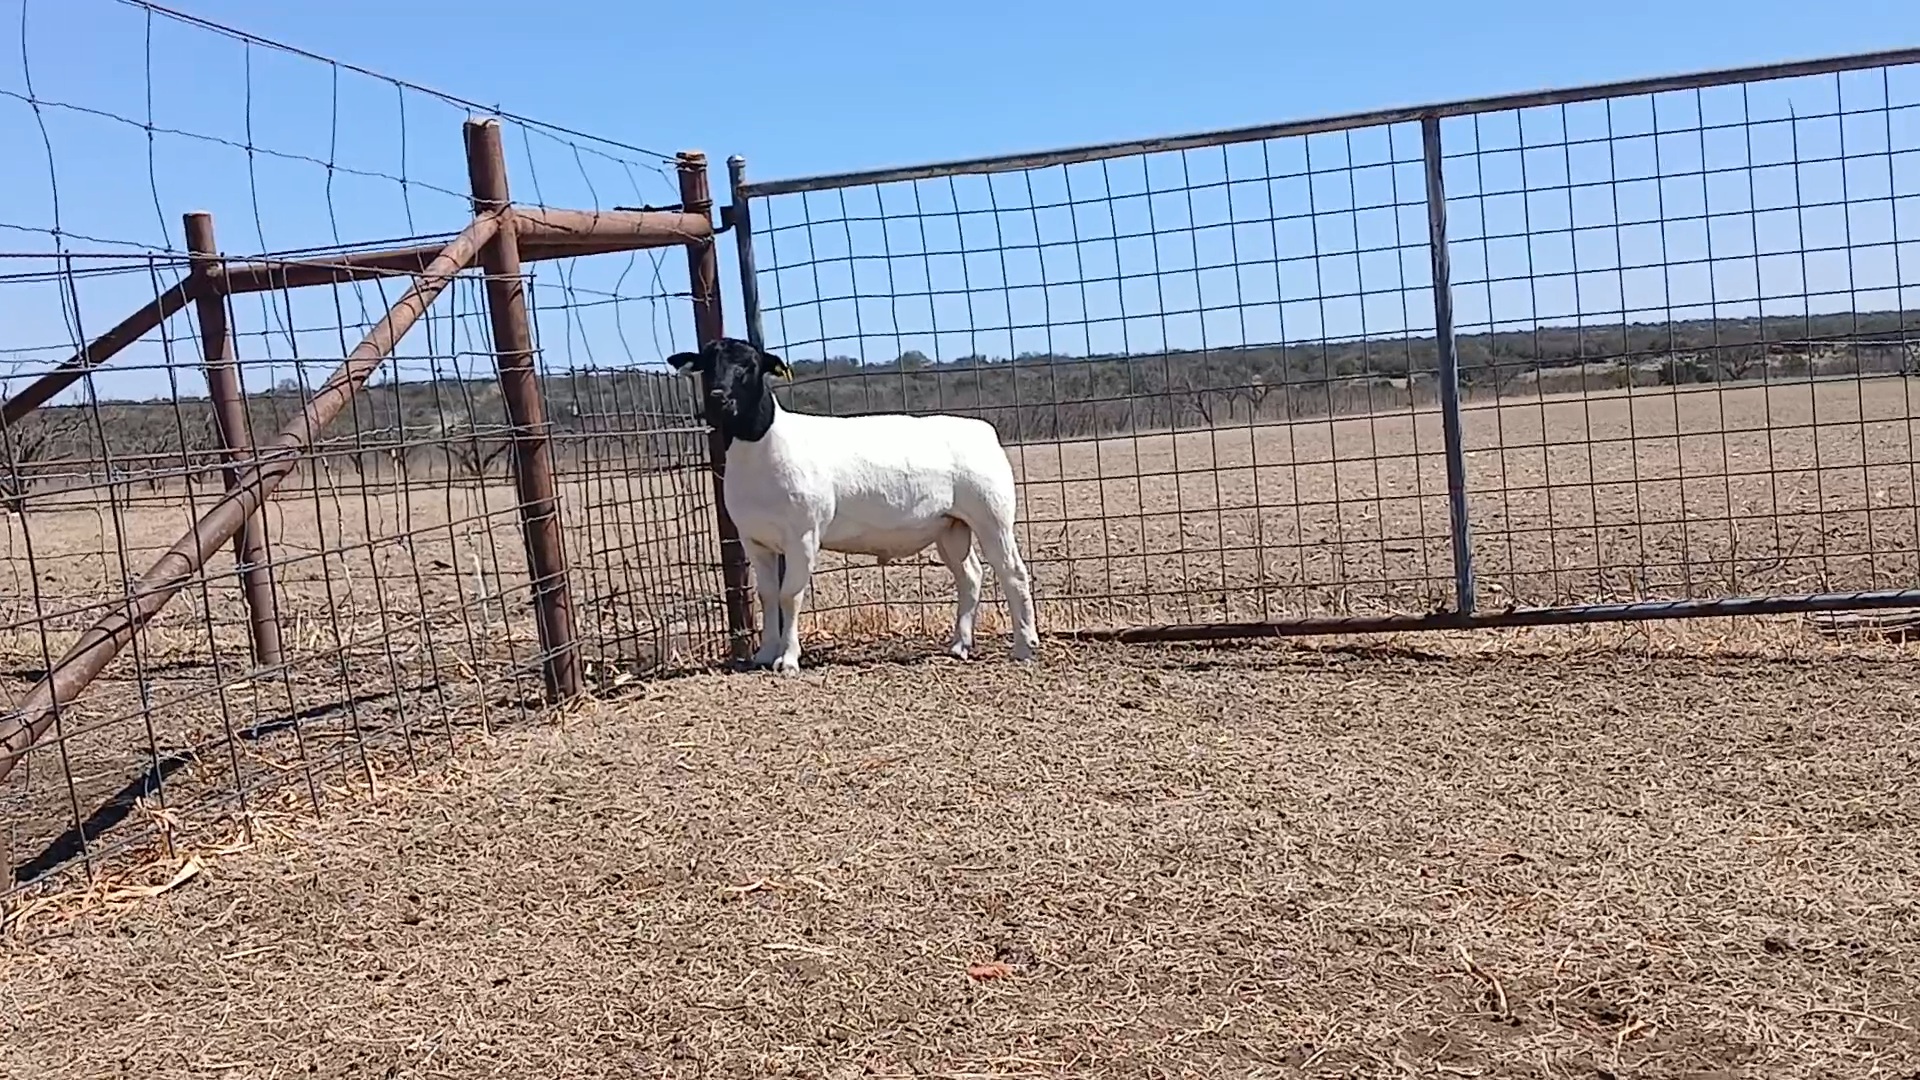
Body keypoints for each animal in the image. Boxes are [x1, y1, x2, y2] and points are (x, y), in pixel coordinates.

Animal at [666, 337, 1039, 674]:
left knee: (1013, 573)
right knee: (971, 577)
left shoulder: (803, 535)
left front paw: (788, 660)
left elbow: (790, 595)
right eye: (706, 365)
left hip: (992, 515)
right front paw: (764, 653)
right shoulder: (754, 539)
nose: (718, 398)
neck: (761, 444)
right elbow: (768, 595)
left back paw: (1024, 646)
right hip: (950, 525)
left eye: (749, 365)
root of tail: (982, 430)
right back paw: (960, 645)